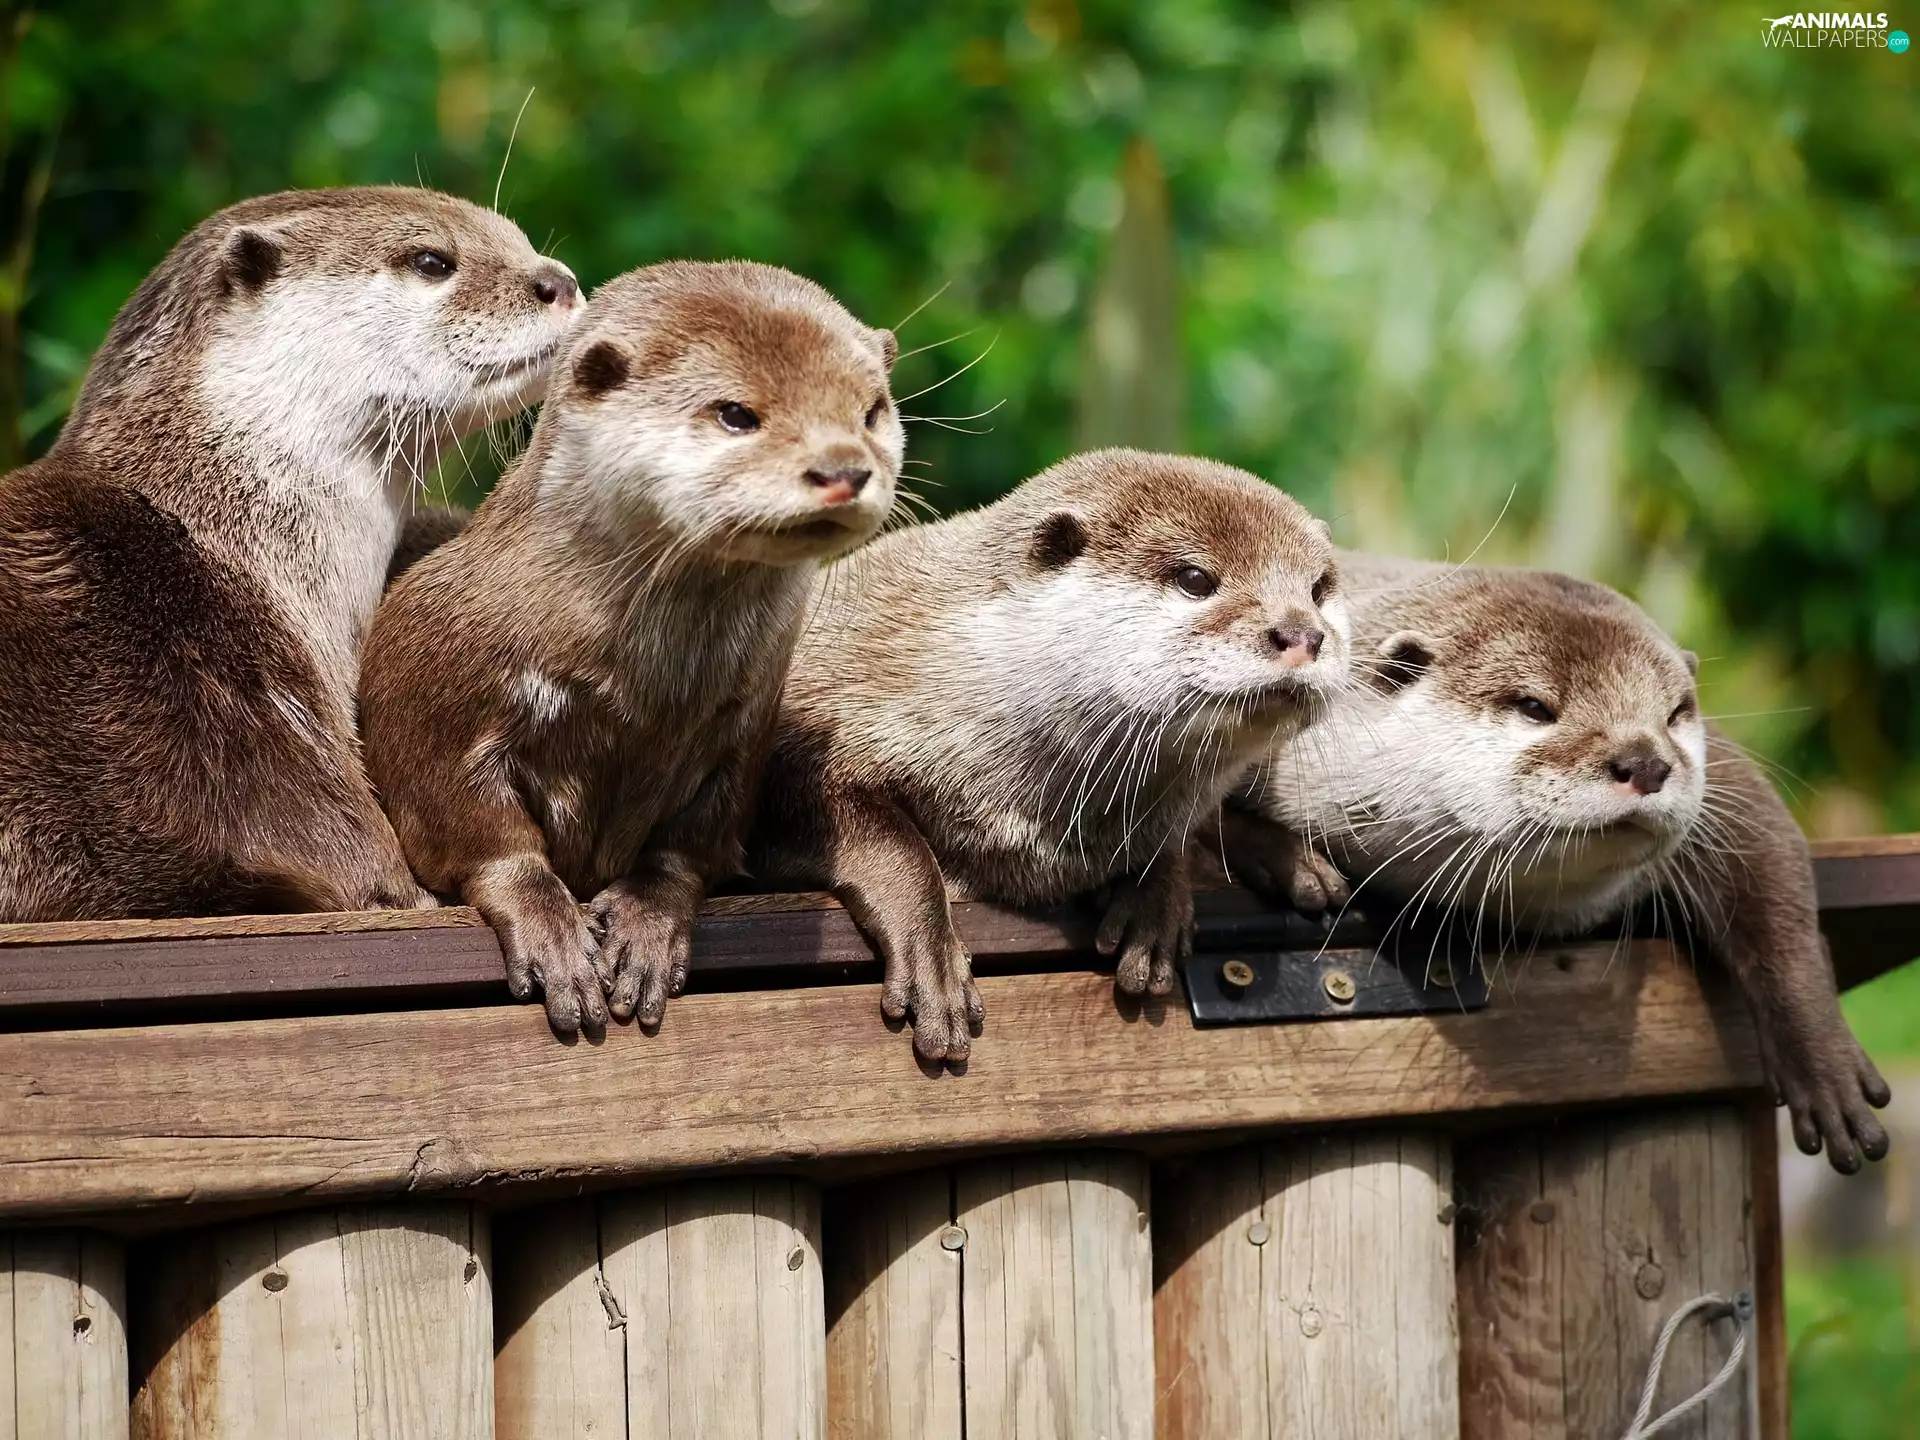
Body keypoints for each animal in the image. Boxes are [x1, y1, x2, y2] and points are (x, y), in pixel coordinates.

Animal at [361, 261, 902, 1036]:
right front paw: (552, 931)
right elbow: (481, 835)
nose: (843, 469)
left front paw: (649, 925)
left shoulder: (745, 725)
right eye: (736, 413)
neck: (642, 698)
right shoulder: (430, 695)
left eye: (871, 411)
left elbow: (692, 844)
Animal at [747, 449, 1348, 1062]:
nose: (1303, 633)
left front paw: (1155, 901)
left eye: (1319, 589)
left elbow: (1176, 835)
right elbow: (887, 840)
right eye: (1195, 579)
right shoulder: (811, 717)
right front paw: (933, 958)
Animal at [1229, 553, 1890, 1173]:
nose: (1646, 761)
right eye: (1533, 706)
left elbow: (1772, 872)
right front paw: (1292, 862)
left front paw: (1826, 1066)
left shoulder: (1724, 781)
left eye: (1676, 714)